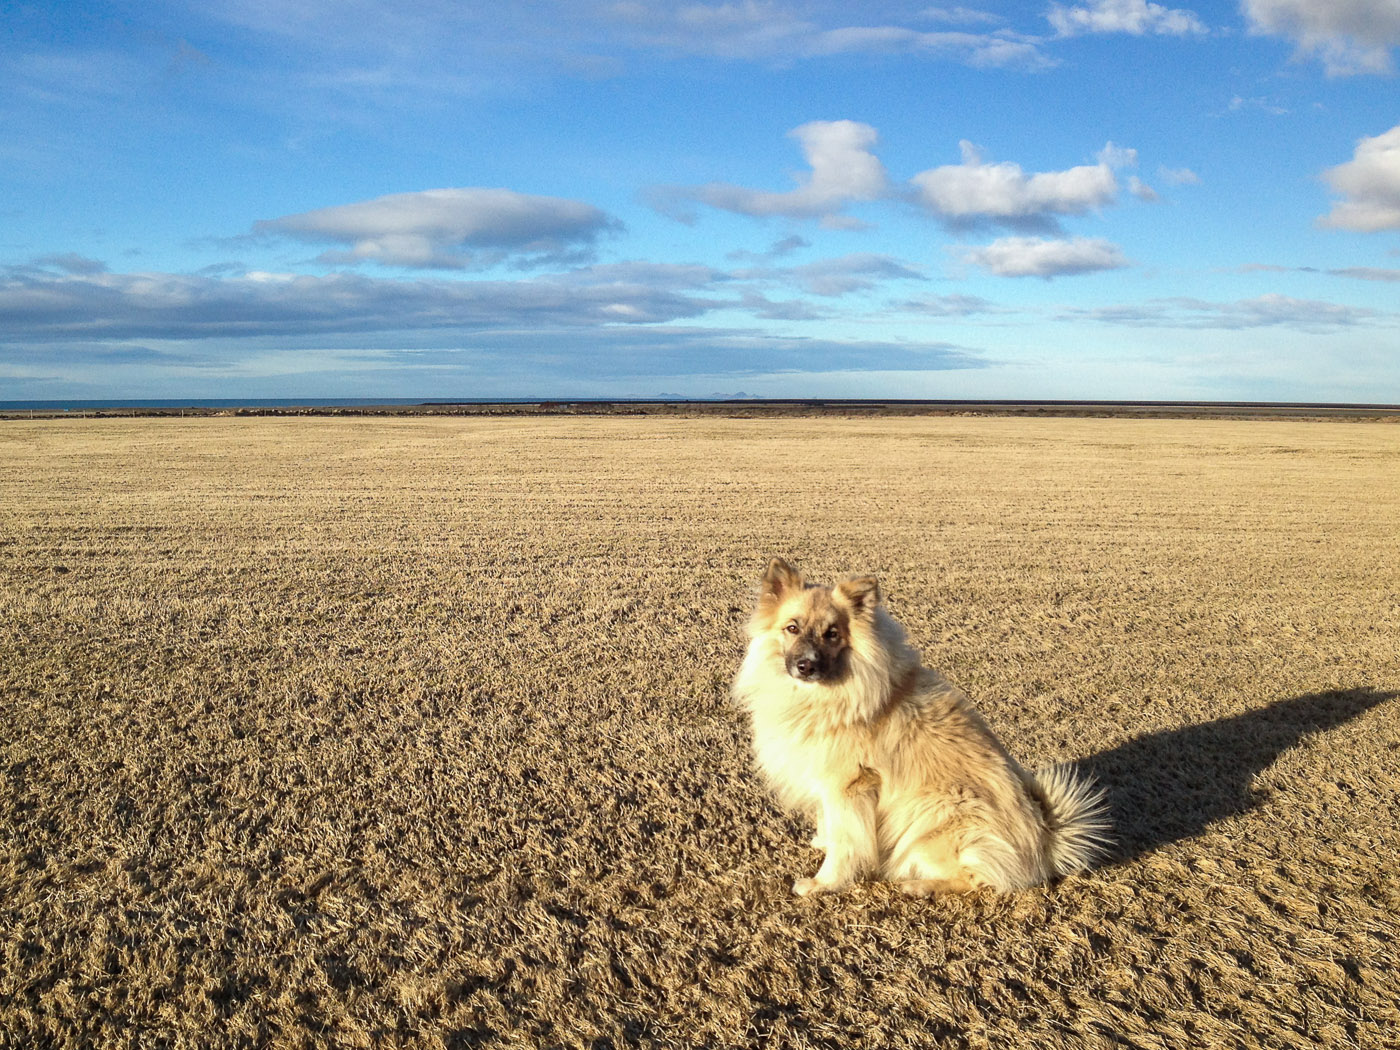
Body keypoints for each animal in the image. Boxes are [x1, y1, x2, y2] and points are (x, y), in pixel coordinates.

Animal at [728, 560, 1108, 896]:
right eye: (792, 628)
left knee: (977, 880)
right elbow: (829, 823)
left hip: (931, 815)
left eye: (832, 635)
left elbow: (846, 841)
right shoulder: (825, 782)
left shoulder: (849, 785)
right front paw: (822, 840)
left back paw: (920, 886)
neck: (826, 694)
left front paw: (824, 883)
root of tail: (1045, 842)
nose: (805, 665)